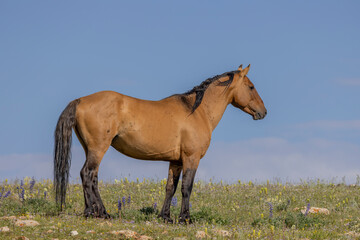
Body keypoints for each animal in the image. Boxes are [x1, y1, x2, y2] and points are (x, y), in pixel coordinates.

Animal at [54, 64, 268, 223]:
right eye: (251, 86)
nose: (263, 112)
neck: (196, 111)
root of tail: (80, 100)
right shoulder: (191, 158)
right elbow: (187, 187)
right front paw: (185, 219)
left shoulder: (176, 161)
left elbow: (170, 188)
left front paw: (166, 217)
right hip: (98, 149)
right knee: (88, 174)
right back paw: (98, 213)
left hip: (90, 148)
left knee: (91, 176)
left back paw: (93, 211)